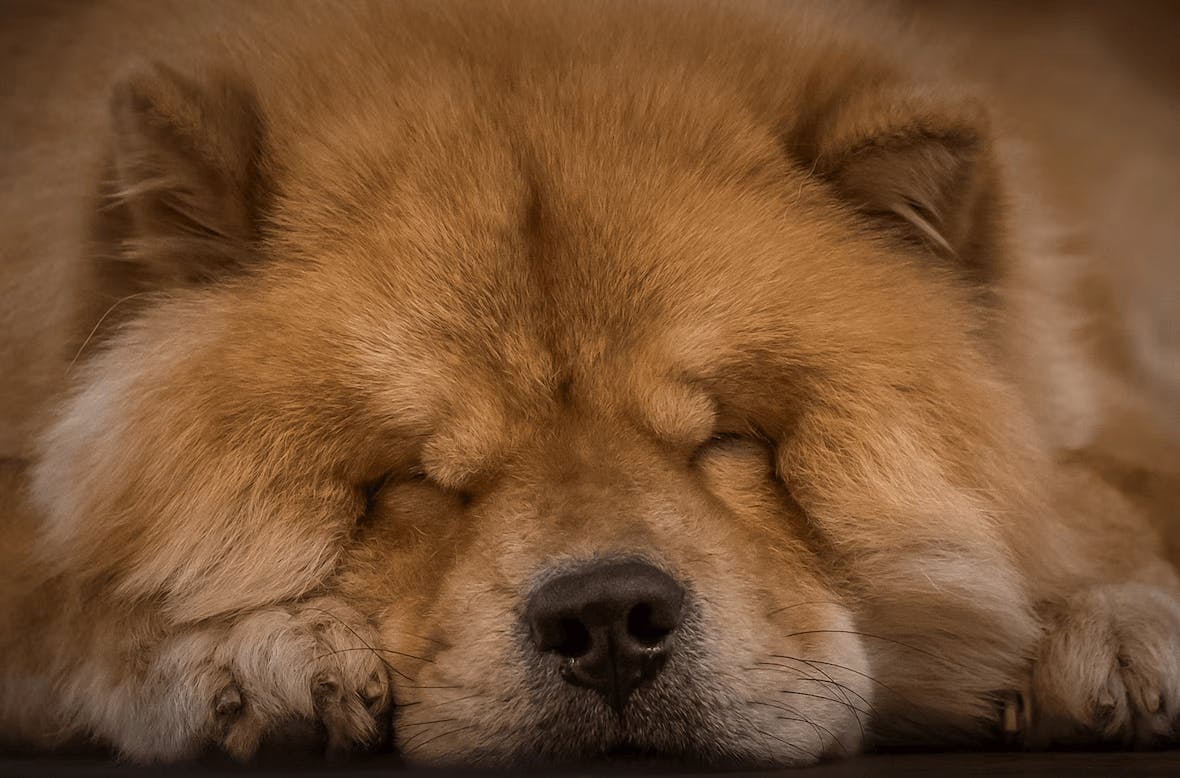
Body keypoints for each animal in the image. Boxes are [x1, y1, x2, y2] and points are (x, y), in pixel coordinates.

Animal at [2, 0, 1180, 769]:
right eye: (415, 481)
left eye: (727, 440)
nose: (609, 615)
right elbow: (59, 589)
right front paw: (256, 642)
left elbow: (1097, 489)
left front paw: (1106, 615)